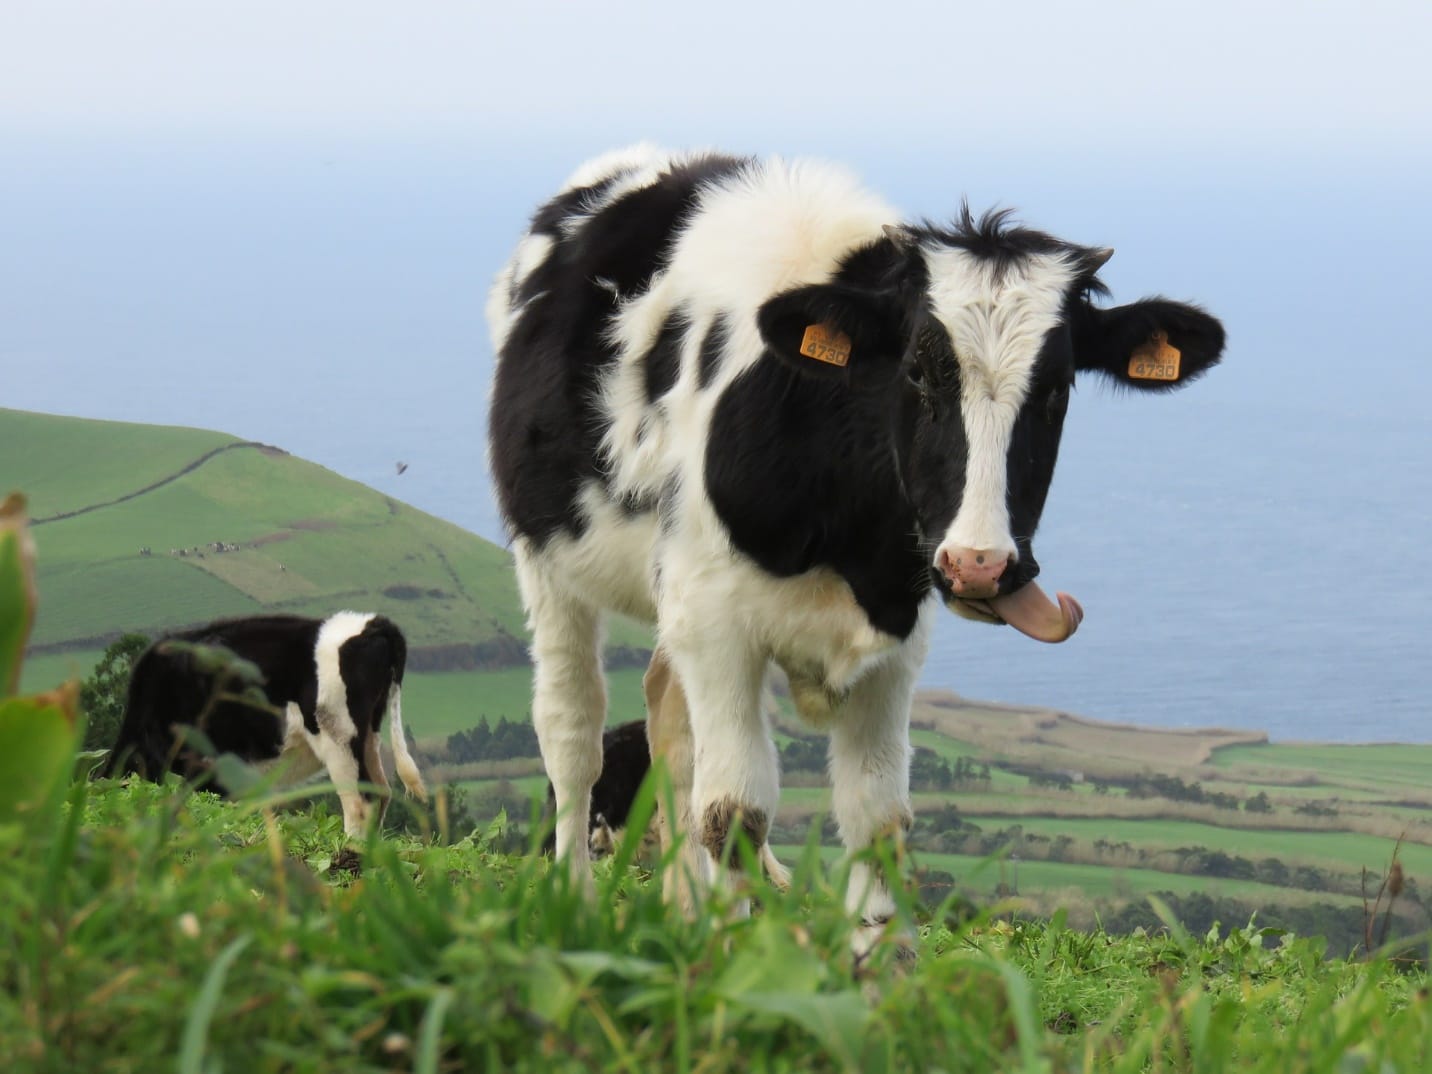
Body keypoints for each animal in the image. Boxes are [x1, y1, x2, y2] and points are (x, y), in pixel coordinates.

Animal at [105, 610, 423, 836]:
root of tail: (372, 623)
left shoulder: (206, 762)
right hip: (367, 734)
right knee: (380, 792)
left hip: (338, 735)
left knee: (360, 800)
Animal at [486, 145, 1225, 950]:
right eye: (916, 372)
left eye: (1057, 388)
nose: (980, 565)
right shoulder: (714, 619)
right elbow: (735, 808)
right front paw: (733, 957)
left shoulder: (896, 639)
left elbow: (878, 818)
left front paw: (877, 958)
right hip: (548, 557)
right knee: (573, 731)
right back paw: (575, 897)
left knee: (666, 714)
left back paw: (681, 909)